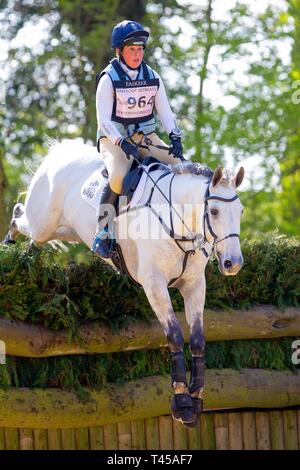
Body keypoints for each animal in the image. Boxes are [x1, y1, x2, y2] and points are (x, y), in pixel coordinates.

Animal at [3, 140, 245, 426]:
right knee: (20, 217)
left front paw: (196, 400)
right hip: (43, 222)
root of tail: (60, 152)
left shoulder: (194, 285)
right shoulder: (154, 284)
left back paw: (28, 253)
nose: (233, 263)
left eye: (241, 211)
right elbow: (175, 335)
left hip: (64, 230)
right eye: (215, 211)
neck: (175, 219)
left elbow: (197, 340)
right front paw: (181, 402)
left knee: (37, 235)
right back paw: (11, 242)